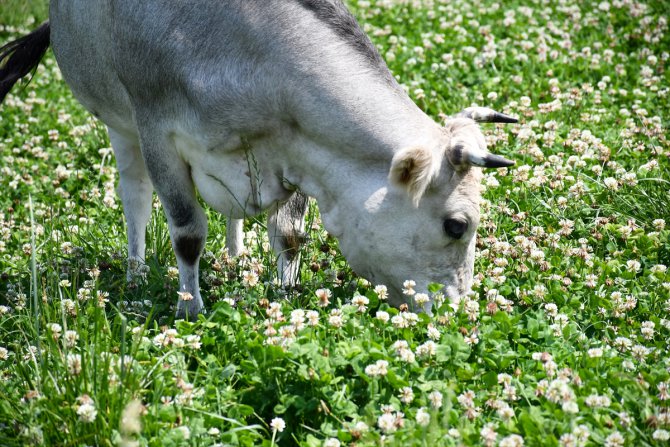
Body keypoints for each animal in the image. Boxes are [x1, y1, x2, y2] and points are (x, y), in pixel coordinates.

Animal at [0, 0, 520, 322]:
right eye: (457, 225)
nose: (458, 312)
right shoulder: (157, 131)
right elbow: (187, 232)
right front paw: (190, 309)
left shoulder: (295, 151)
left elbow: (288, 234)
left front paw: (284, 294)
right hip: (118, 123)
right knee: (135, 197)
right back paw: (135, 272)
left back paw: (235, 256)